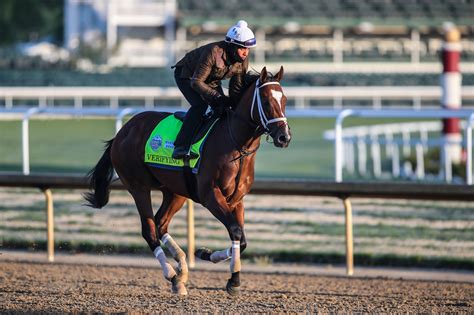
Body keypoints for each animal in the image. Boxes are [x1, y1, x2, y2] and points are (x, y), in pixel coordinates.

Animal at [85, 66, 292, 296]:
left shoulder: (236, 200)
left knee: (161, 223)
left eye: (284, 100)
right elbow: (236, 231)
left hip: (174, 191)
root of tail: (123, 132)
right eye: (266, 101)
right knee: (149, 230)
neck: (236, 144)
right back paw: (172, 275)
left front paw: (206, 254)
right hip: (138, 187)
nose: (284, 137)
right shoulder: (211, 195)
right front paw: (234, 279)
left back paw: (182, 271)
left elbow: (241, 238)